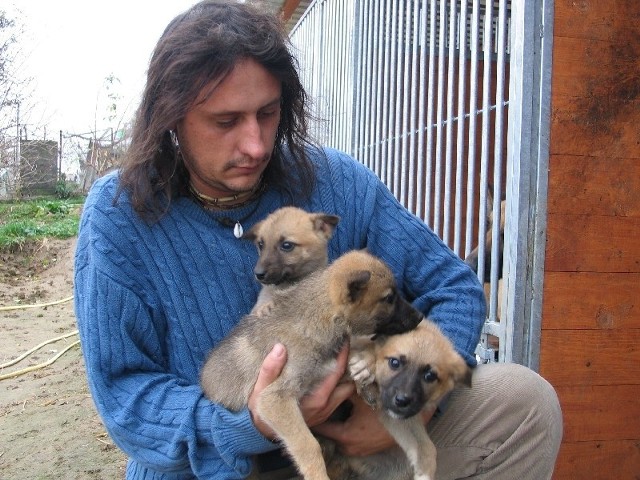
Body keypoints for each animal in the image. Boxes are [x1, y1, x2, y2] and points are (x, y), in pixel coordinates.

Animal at [200, 249, 424, 480]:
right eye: (389, 298)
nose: (420, 316)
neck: (322, 317)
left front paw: (365, 377)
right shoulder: (274, 399)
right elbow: (307, 444)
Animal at [324, 318, 470, 480]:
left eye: (430, 376)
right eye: (394, 363)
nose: (402, 400)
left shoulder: (397, 416)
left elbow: (426, 446)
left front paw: (425, 471)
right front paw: (366, 363)